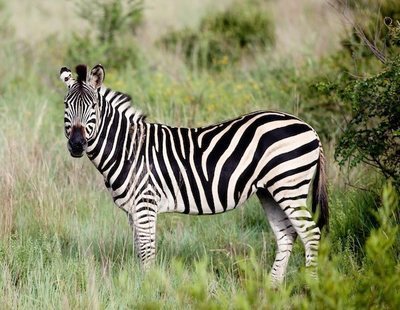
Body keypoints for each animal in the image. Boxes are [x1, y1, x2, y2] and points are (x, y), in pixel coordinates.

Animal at [59, 64, 328, 284]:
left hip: (289, 185)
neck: (128, 148)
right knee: (286, 235)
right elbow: (140, 251)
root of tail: (309, 127)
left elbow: (147, 253)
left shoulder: (145, 204)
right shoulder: (134, 210)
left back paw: (312, 288)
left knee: (310, 233)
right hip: (270, 190)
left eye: (93, 107)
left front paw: (148, 290)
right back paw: (273, 288)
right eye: (66, 106)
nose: (77, 145)